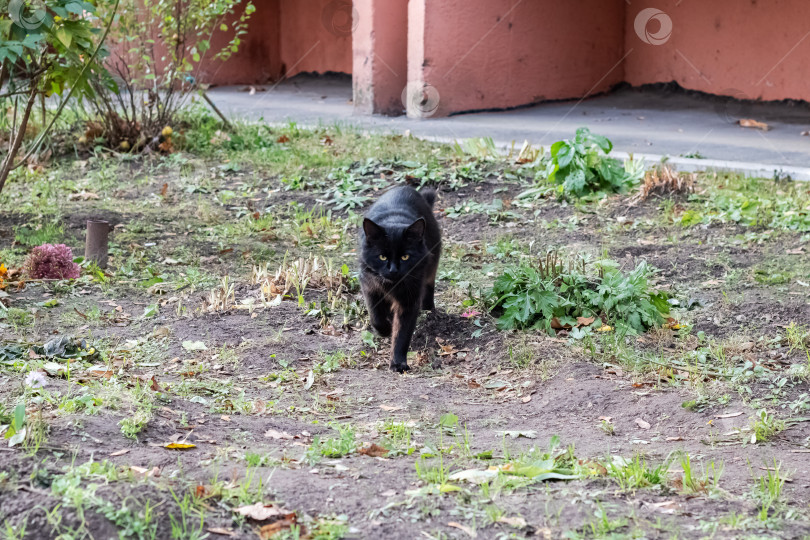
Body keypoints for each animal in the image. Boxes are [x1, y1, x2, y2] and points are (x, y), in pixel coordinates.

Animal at [358, 186, 438, 372]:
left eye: (405, 257)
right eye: (382, 257)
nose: (393, 270)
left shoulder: (409, 300)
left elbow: (402, 334)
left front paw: (398, 363)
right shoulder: (370, 287)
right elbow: (376, 317)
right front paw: (385, 330)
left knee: (430, 285)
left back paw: (429, 309)